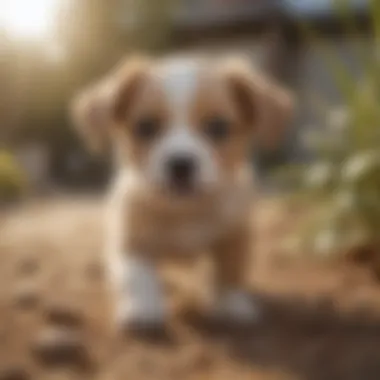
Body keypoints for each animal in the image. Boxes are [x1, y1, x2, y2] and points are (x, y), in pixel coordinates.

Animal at [72, 55, 294, 332]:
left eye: (218, 127)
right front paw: (144, 309)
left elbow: (230, 272)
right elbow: (138, 275)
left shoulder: (234, 235)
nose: (180, 164)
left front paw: (230, 304)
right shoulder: (130, 241)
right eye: (145, 127)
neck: (184, 211)